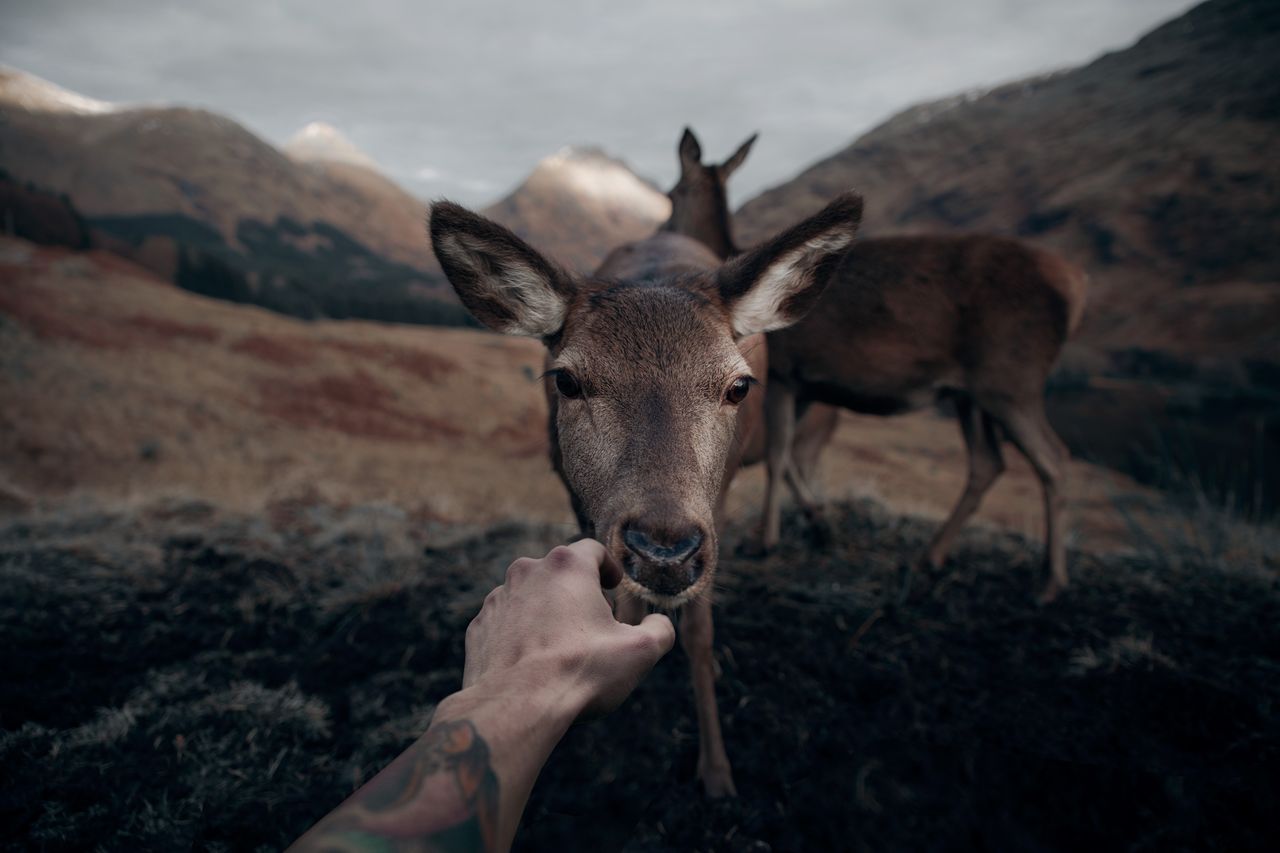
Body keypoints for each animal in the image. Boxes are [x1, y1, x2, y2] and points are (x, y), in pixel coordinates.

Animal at [427, 188, 860, 799]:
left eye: (738, 386)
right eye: (567, 380)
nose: (664, 549)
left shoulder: (715, 505)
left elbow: (699, 630)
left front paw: (715, 770)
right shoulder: (578, 499)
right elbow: (620, 605)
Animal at [747, 227, 1090, 596]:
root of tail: (1076, 287)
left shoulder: (782, 374)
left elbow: (776, 455)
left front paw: (766, 541)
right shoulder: (804, 388)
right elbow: (787, 456)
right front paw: (820, 524)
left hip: (1010, 382)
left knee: (1052, 457)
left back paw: (1052, 581)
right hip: (971, 396)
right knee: (989, 461)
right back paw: (933, 556)